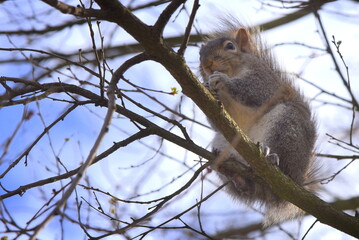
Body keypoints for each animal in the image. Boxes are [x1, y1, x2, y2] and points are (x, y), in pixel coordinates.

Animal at [200, 21, 320, 227]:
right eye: (200, 54)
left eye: (230, 46)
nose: (207, 64)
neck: (234, 69)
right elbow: (216, 116)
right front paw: (209, 86)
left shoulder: (263, 77)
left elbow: (257, 91)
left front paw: (223, 81)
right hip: (223, 140)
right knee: (247, 188)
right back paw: (236, 176)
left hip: (286, 126)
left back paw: (269, 157)